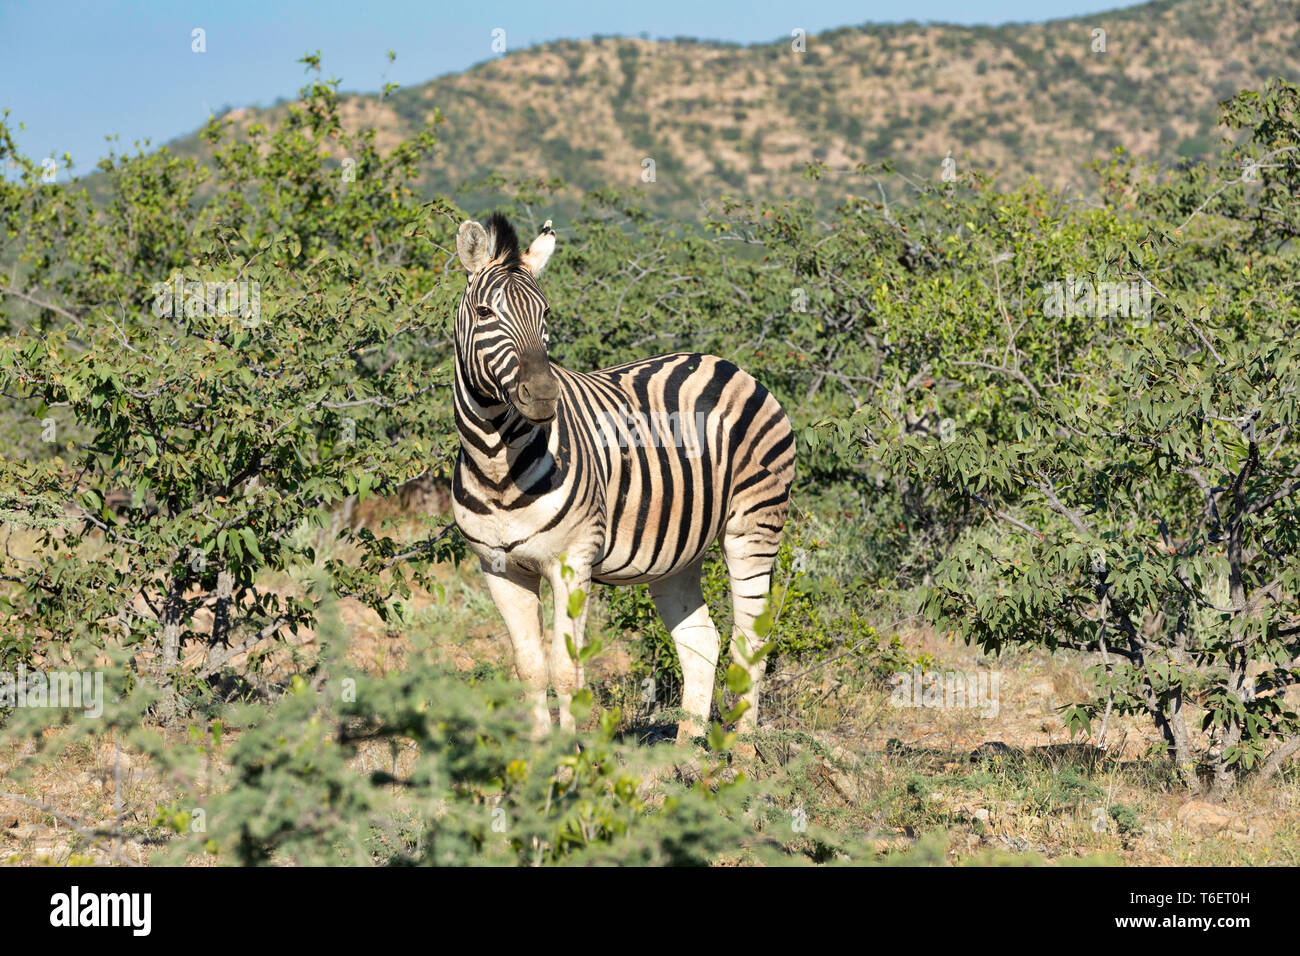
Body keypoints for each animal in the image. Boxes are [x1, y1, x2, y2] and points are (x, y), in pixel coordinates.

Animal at [451, 212, 795, 743]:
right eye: (485, 313)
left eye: (546, 315)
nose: (545, 394)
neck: (496, 465)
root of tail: (728, 364)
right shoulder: (498, 567)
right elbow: (529, 668)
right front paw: (538, 755)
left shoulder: (572, 562)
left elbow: (566, 670)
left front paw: (569, 758)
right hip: (680, 550)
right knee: (701, 640)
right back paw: (686, 751)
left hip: (755, 525)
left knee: (750, 641)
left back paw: (741, 747)